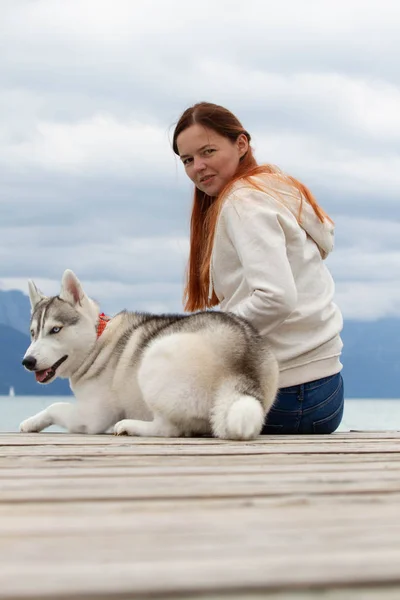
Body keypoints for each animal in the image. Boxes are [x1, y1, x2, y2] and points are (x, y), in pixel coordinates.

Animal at [20, 270, 278, 438]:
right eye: (32, 333)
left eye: (55, 329)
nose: (27, 362)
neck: (97, 340)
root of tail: (241, 363)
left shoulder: (92, 416)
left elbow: (54, 407)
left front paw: (31, 421)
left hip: (154, 356)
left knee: (169, 429)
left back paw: (131, 426)